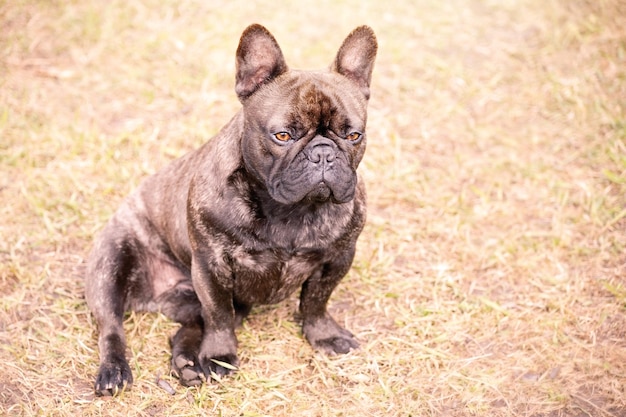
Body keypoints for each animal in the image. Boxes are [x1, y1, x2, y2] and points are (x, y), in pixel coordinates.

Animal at [83, 22, 376, 394]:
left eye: (353, 136)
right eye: (283, 136)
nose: (323, 153)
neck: (290, 211)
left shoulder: (337, 259)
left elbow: (316, 302)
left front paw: (323, 335)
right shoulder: (212, 266)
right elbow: (219, 315)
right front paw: (220, 356)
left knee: (191, 325)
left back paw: (187, 362)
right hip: (110, 264)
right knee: (112, 326)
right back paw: (115, 370)